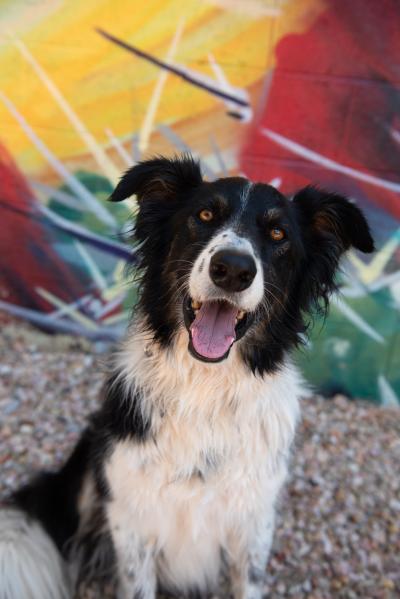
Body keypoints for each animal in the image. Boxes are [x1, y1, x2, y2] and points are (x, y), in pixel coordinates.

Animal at [0, 156, 376, 599]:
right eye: (205, 215)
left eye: (278, 233)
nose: (232, 269)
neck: (204, 389)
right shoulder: (131, 517)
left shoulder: (252, 522)